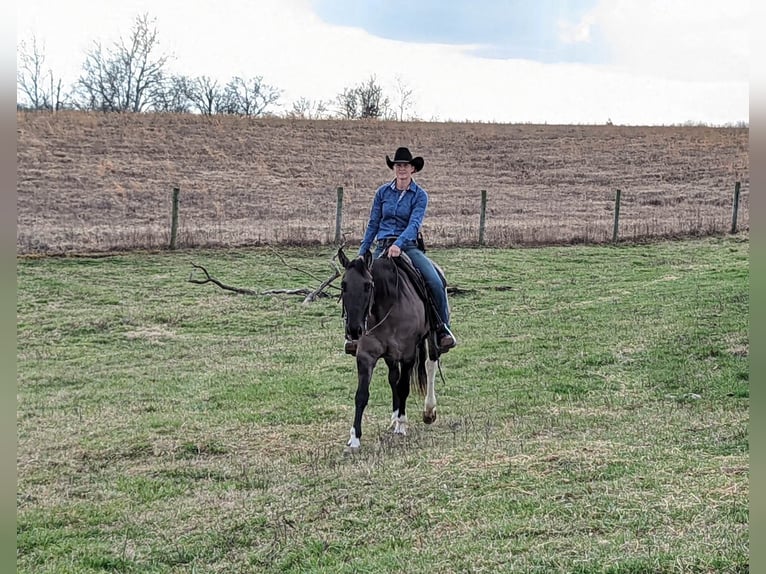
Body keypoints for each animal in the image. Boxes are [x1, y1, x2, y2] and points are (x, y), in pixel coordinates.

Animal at [340, 248, 440, 454]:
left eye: (368, 285)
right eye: (343, 285)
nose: (354, 330)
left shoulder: (408, 354)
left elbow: (404, 387)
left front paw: (402, 424)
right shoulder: (365, 356)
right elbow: (361, 395)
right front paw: (355, 438)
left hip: (430, 339)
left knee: (430, 365)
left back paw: (428, 412)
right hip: (390, 355)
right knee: (393, 377)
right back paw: (394, 417)